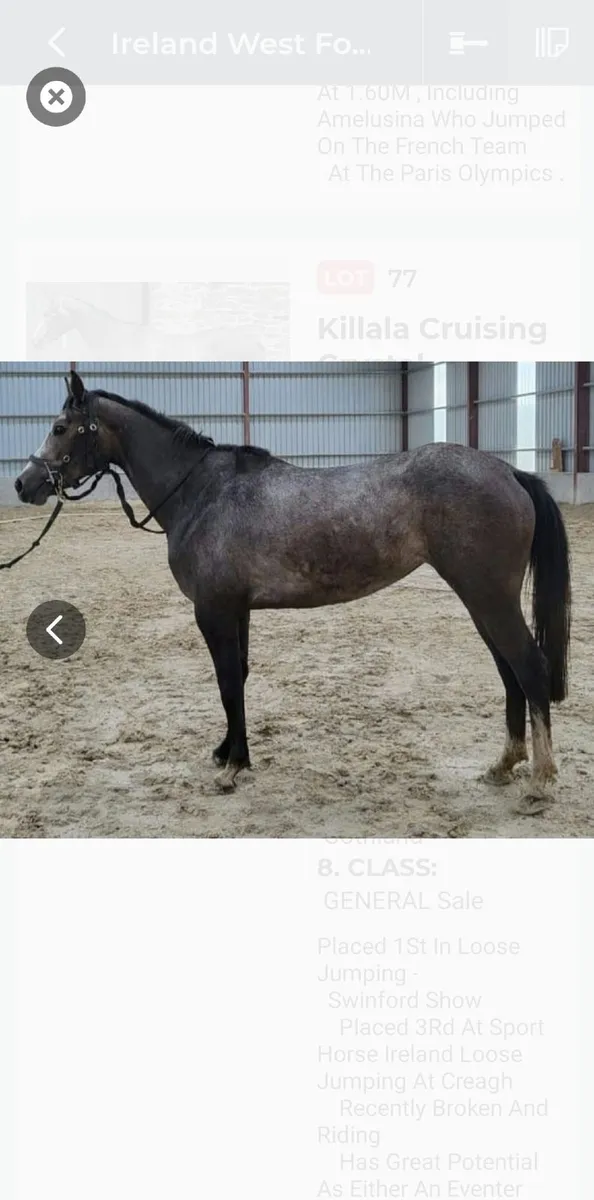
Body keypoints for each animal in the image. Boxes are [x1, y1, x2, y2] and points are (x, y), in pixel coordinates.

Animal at [14, 370, 572, 815]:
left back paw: (540, 782)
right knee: (509, 672)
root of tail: (509, 471)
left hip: (488, 598)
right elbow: (238, 677)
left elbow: (226, 682)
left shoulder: (213, 611)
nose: (24, 484)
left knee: (529, 667)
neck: (200, 493)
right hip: (481, 602)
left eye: (60, 428)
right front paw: (229, 752)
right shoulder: (236, 611)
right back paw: (504, 765)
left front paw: (233, 767)